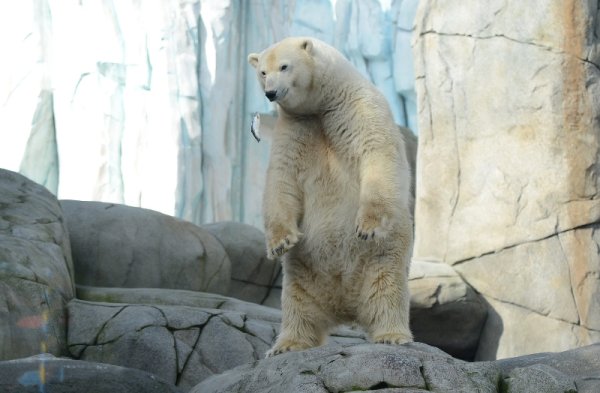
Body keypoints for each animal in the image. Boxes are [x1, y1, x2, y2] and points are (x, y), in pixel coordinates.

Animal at [247, 36, 412, 356]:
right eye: (262, 72)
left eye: (284, 66)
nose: (271, 92)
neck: (324, 103)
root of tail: (345, 307)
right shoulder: (297, 127)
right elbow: (282, 179)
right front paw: (280, 243)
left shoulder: (359, 109)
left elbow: (377, 153)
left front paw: (367, 226)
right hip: (302, 268)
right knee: (298, 303)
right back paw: (287, 344)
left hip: (383, 256)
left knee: (386, 288)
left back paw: (392, 335)